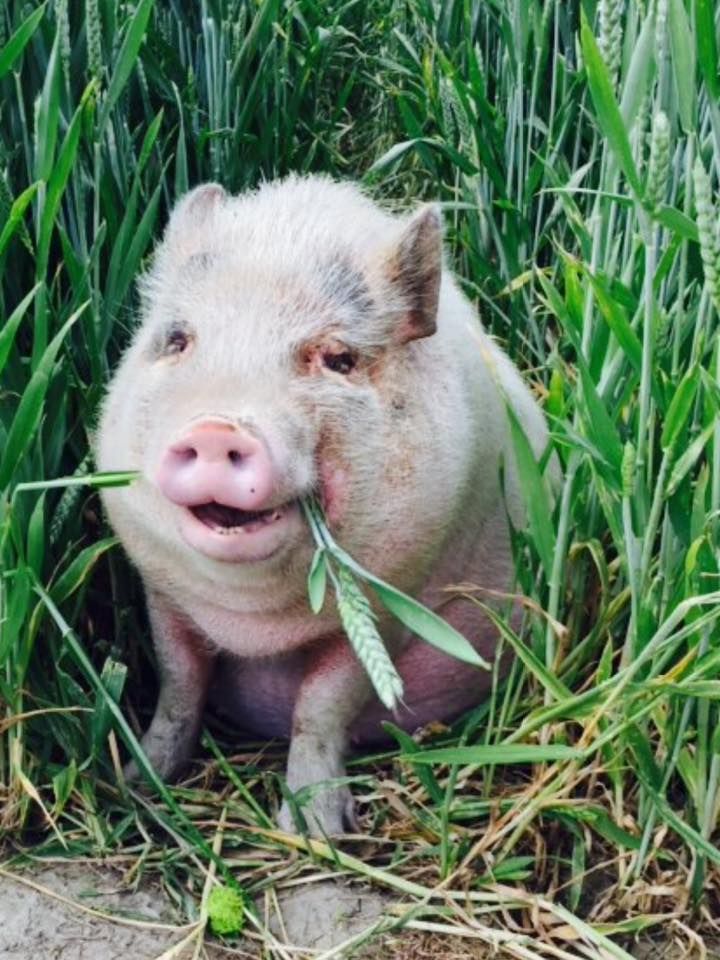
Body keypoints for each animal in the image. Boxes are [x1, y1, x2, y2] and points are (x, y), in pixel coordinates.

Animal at [97, 176, 552, 836]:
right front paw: (136, 784)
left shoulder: (393, 602)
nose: (217, 427)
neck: (253, 621)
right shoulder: (162, 591)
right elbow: (178, 687)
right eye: (178, 341)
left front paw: (316, 831)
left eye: (338, 358)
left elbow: (321, 707)